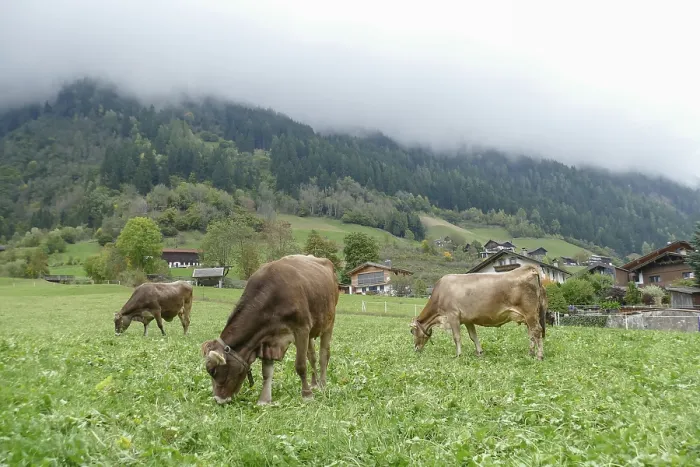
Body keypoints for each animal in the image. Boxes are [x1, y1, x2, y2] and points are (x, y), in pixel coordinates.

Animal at [200, 254, 339, 405]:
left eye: (212, 370)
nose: (218, 400)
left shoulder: (301, 328)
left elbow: (300, 365)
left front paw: (307, 395)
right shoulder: (267, 339)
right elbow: (266, 372)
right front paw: (264, 400)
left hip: (329, 322)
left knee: (323, 356)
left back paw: (323, 385)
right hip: (311, 331)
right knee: (312, 356)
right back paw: (314, 384)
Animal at [410, 264, 547, 360]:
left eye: (412, 331)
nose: (415, 349)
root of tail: (528, 268)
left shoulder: (453, 315)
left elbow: (457, 337)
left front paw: (458, 355)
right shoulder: (468, 320)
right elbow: (473, 336)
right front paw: (480, 353)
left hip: (530, 313)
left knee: (536, 331)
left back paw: (539, 356)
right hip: (528, 316)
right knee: (531, 333)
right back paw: (530, 353)